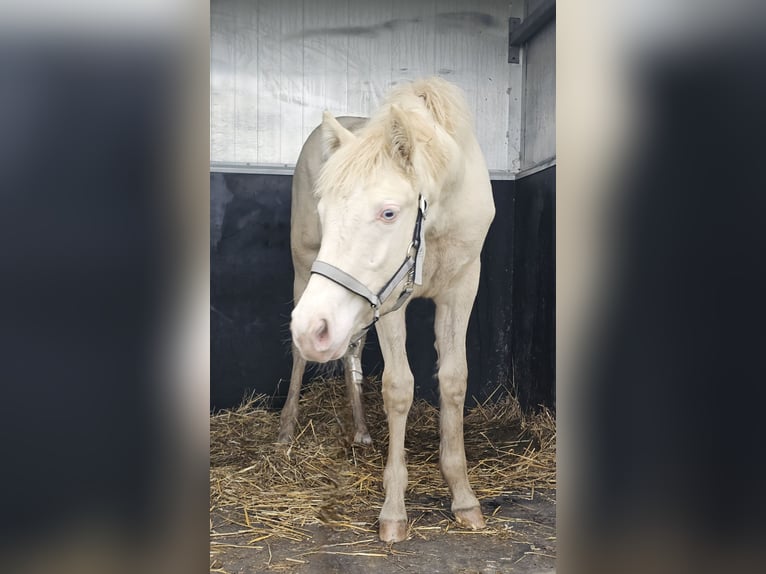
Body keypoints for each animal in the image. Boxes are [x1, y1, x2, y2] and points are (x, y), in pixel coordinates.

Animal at [278, 77, 495, 543]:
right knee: (303, 357)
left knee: (351, 352)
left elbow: (454, 380)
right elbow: (399, 388)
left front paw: (464, 497)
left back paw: (361, 431)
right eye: (325, 212)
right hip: (307, 275)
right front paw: (394, 509)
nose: (312, 327)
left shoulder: (461, 289)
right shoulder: (393, 300)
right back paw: (286, 428)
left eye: (389, 212)